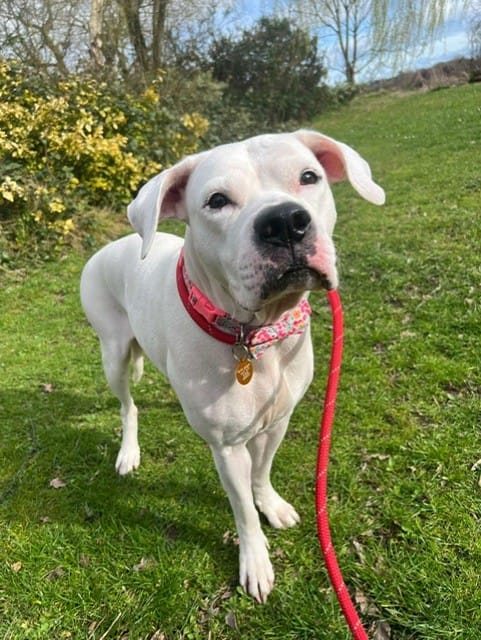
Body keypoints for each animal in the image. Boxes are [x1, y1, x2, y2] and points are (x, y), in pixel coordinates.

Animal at [80, 129, 384, 603]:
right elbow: (242, 510)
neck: (255, 334)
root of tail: (111, 246)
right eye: (217, 200)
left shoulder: (277, 421)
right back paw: (128, 452)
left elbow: (263, 472)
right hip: (113, 353)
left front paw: (271, 504)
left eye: (309, 177)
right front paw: (255, 559)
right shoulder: (227, 449)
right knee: (128, 406)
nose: (284, 222)